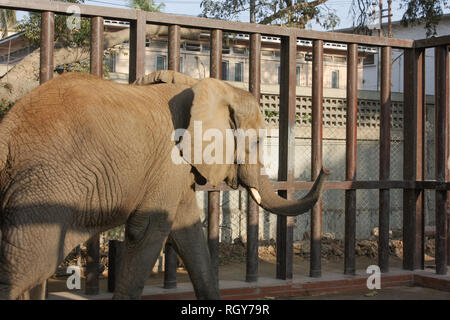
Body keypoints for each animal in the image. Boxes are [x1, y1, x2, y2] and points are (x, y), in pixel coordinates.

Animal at [0, 70, 328, 300]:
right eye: (258, 141)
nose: (324, 168)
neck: (195, 85)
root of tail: (7, 131)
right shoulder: (168, 164)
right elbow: (148, 229)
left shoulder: (176, 171)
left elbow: (187, 230)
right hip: (46, 184)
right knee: (26, 265)